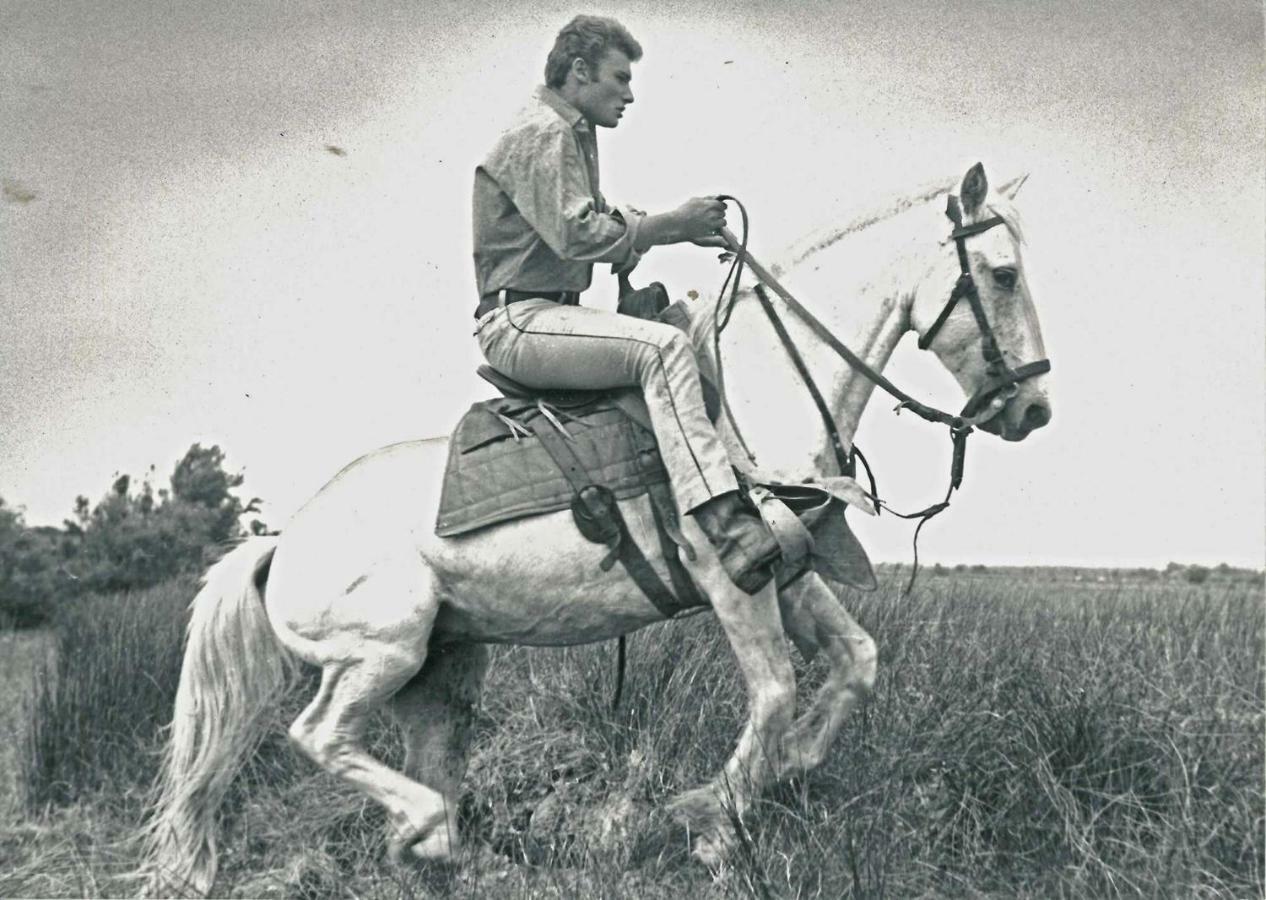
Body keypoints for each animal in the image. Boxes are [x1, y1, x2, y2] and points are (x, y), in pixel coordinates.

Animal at [141, 163, 1048, 896]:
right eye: (1003, 274)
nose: (1035, 409)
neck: (751, 399)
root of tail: (281, 543)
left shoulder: (786, 570)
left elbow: (855, 664)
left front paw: (786, 769)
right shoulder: (732, 579)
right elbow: (774, 693)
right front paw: (712, 822)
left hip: (441, 669)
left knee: (423, 755)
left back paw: (439, 852)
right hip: (379, 653)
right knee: (322, 735)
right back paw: (424, 828)